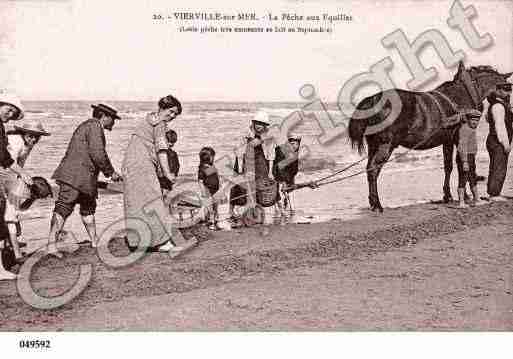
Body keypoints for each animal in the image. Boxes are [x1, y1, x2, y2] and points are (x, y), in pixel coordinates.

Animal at [346, 61, 510, 212]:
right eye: (508, 87)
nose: (508, 104)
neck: (462, 94)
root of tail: (373, 99)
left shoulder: (447, 140)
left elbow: (448, 166)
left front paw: (448, 195)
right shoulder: (459, 139)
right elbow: (463, 165)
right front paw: (465, 195)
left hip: (373, 145)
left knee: (369, 168)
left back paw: (373, 202)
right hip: (385, 145)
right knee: (374, 169)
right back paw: (378, 205)